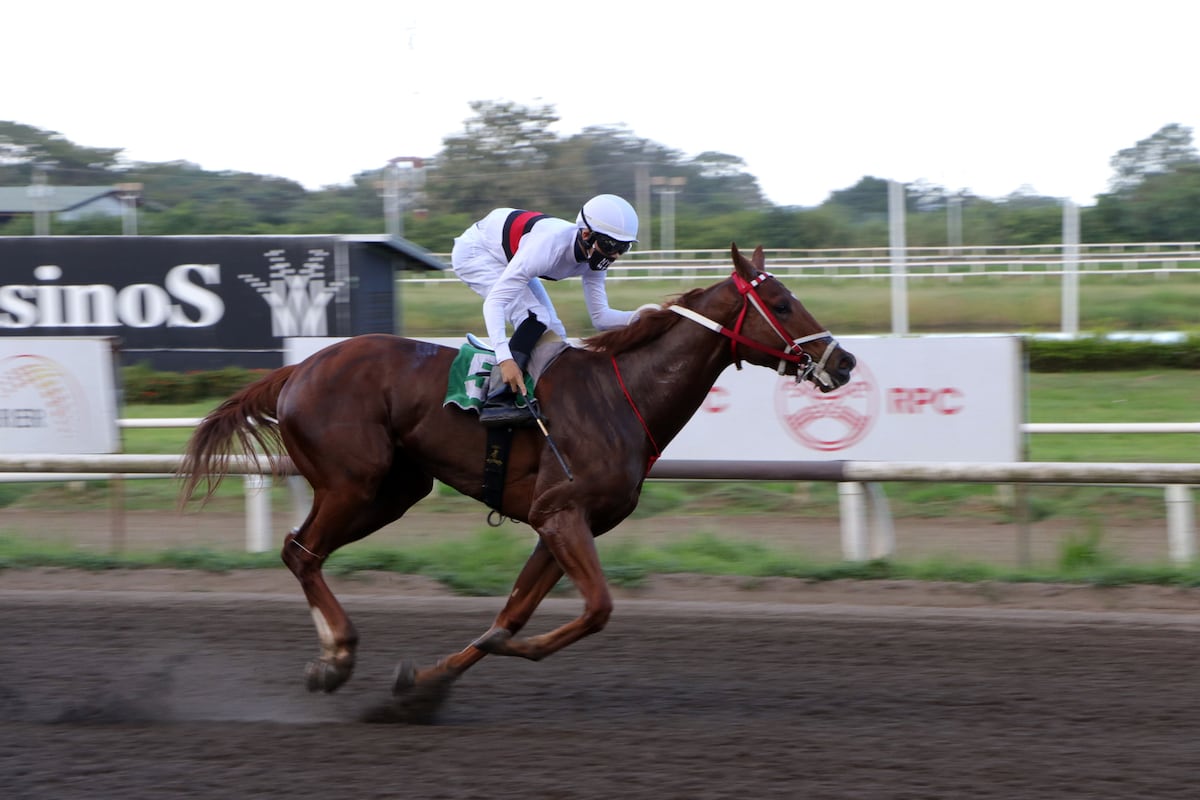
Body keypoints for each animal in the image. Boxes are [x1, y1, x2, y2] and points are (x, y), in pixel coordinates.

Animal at [177, 241, 854, 710]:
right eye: (783, 303)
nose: (843, 361)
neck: (620, 396)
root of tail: (297, 371)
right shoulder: (562, 514)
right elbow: (596, 609)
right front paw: (496, 653)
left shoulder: (563, 525)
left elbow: (514, 613)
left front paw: (425, 685)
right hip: (352, 482)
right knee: (300, 551)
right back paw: (338, 656)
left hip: (394, 490)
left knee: (305, 552)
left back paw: (331, 659)